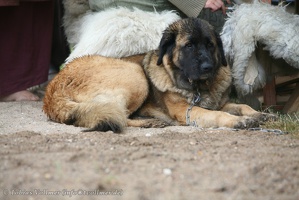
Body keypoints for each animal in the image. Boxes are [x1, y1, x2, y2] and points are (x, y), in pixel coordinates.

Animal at [43, 17, 276, 133]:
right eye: (189, 46)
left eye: (210, 45)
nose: (208, 67)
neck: (199, 88)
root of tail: (52, 89)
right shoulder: (188, 111)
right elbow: (219, 115)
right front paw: (239, 122)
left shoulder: (220, 103)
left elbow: (242, 106)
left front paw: (260, 114)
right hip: (135, 74)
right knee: (116, 114)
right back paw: (150, 123)